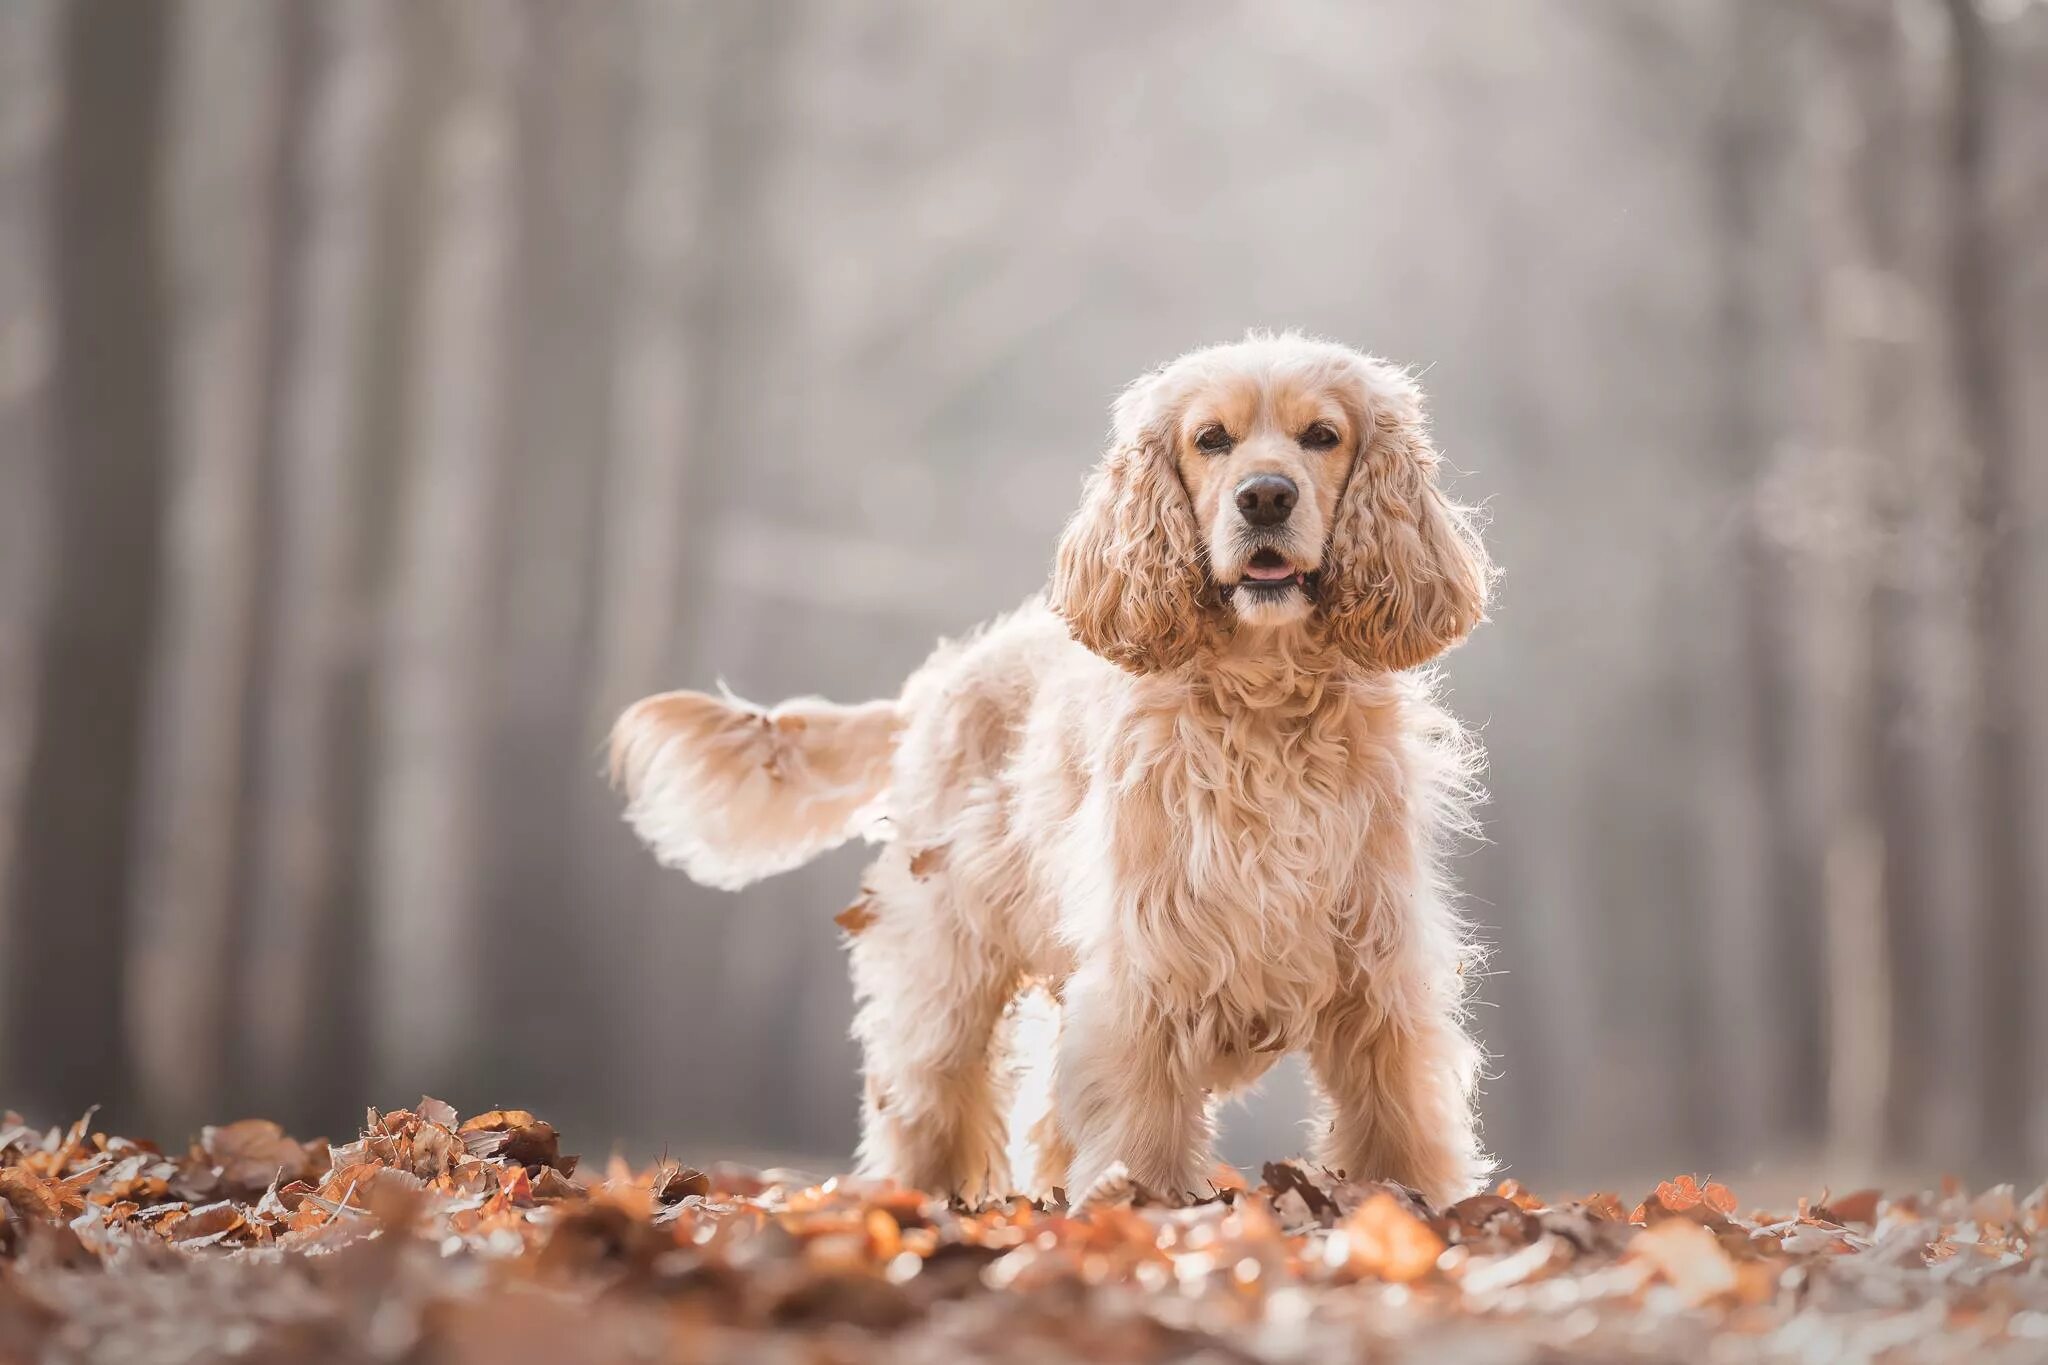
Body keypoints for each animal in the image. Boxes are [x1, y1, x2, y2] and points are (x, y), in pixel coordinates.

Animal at [606, 333, 1490, 1203]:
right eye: (1211, 439)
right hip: (945, 968)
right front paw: (1144, 1204)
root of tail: (933, 685)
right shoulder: (1147, 959)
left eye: (1322, 436)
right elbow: (1142, 1116)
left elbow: (1397, 1118)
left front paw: (1414, 1206)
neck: (1264, 698)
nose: (1266, 497)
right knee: (924, 1100)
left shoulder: (1377, 961)